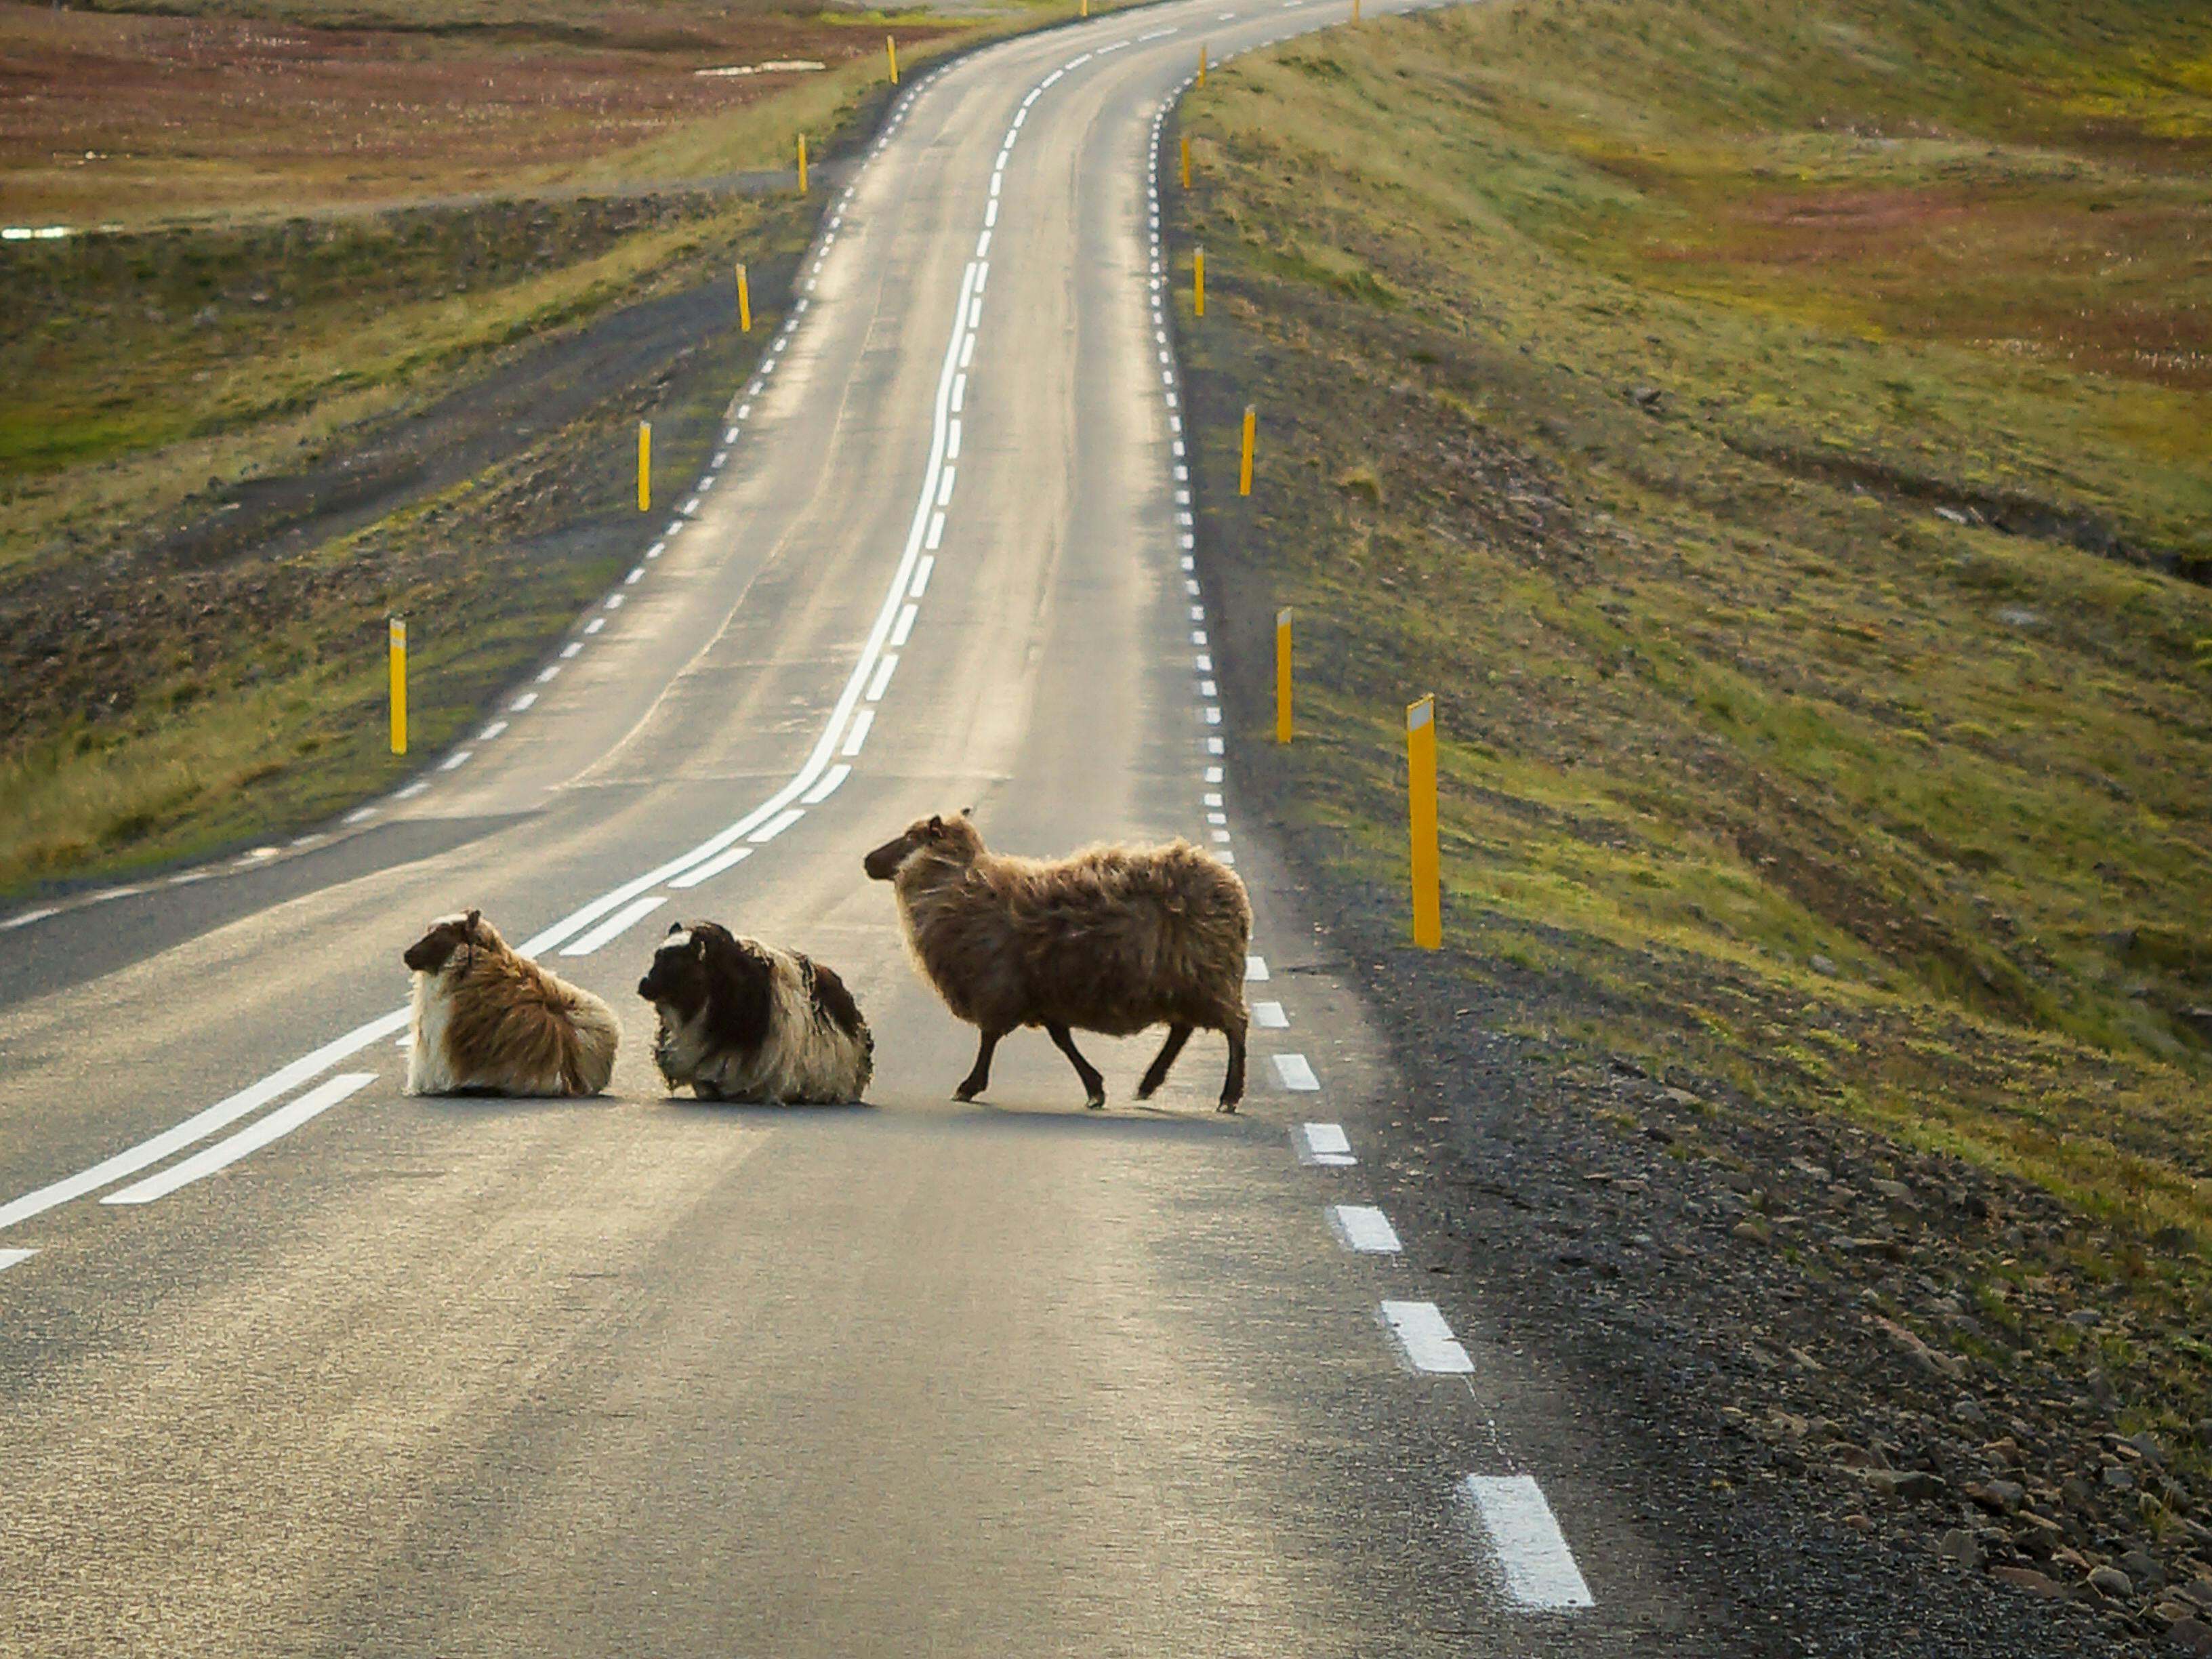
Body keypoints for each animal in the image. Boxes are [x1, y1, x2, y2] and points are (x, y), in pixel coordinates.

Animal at [858, 818, 1256, 1119]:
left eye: (912, 838)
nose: (867, 861)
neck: (956, 887)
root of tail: (1233, 889)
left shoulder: (1001, 984)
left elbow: (991, 1037)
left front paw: (969, 1086)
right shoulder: (1040, 991)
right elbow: (1061, 1038)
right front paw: (1095, 1088)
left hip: (1209, 973)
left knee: (1235, 1027)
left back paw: (1228, 1096)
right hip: (1184, 979)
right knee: (1183, 1028)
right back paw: (1149, 1083)